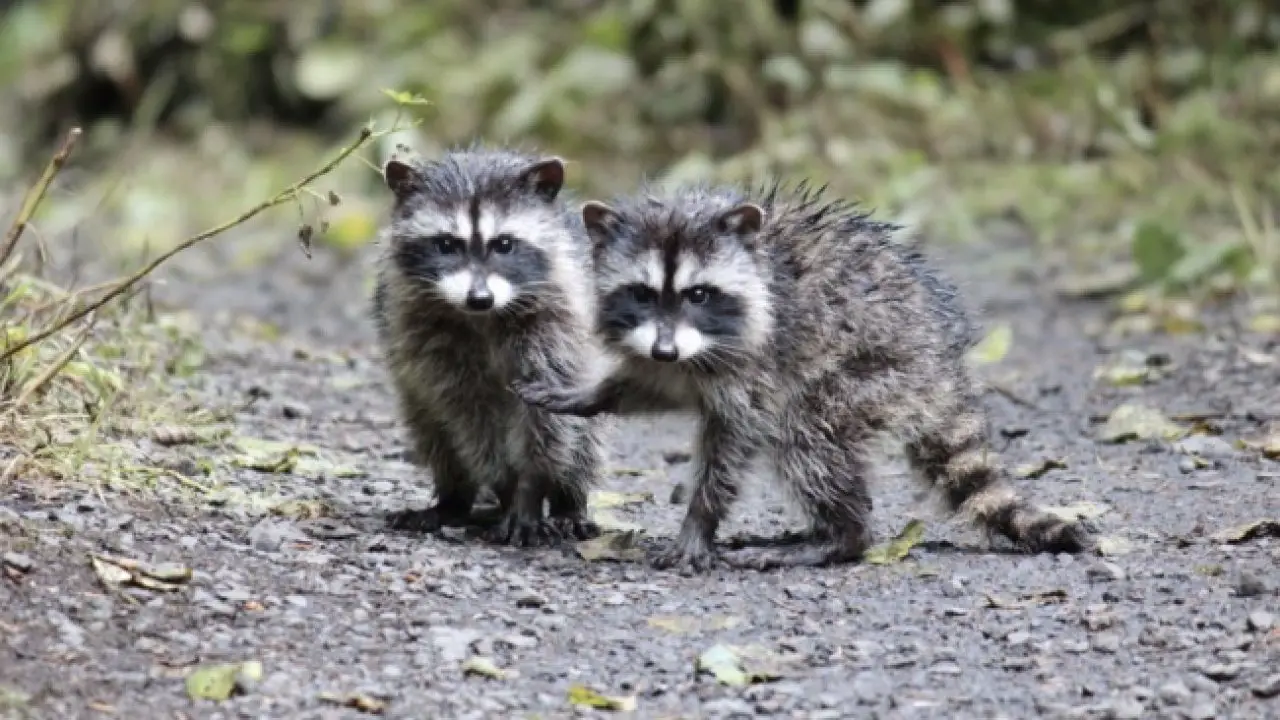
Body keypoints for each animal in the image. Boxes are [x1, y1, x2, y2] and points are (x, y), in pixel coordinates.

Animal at [373, 142, 606, 540]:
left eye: (505, 244)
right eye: (446, 244)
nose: (479, 298)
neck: (482, 318)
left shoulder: (559, 324)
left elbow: (550, 419)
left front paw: (531, 487)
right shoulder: (424, 335)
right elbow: (468, 414)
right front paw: (507, 486)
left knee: (584, 437)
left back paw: (569, 501)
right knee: (433, 429)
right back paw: (453, 498)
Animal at [514, 181, 1095, 568]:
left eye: (699, 294)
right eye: (640, 293)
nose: (663, 349)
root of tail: (941, 360)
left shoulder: (755, 362)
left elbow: (732, 444)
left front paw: (700, 521)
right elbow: (657, 385)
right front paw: (596, 393)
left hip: (873, 373)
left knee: (809, 438)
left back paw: (844, 536)